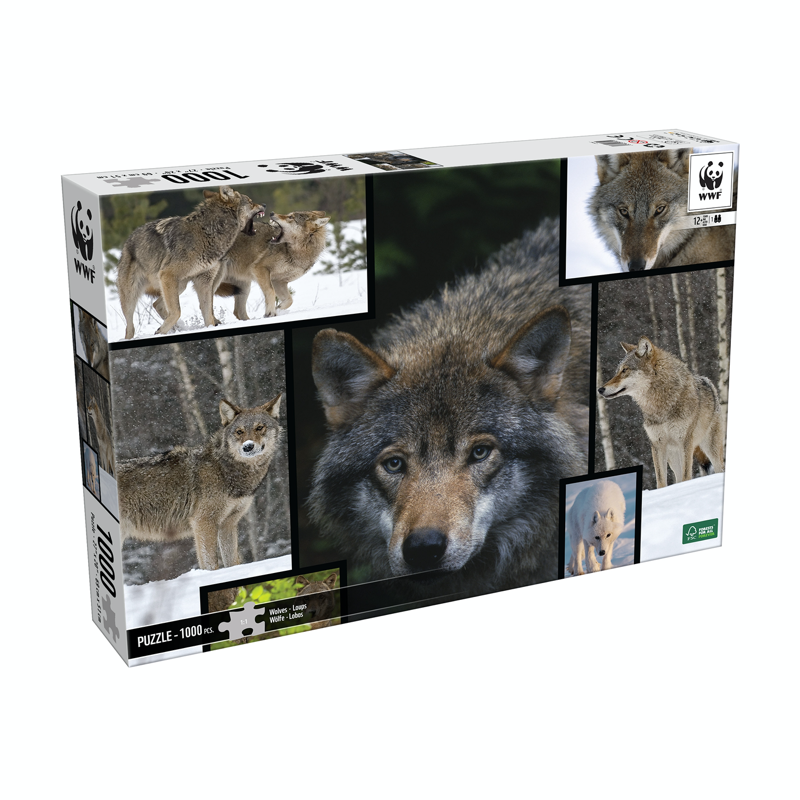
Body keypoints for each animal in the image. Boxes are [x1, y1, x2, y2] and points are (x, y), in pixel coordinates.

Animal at [116, 186, 265, 339]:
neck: (208, 232)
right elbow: (177, 311)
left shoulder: (204, 281)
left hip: (179, 286)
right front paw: (161, 331)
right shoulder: (168, 274)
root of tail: (127, 241)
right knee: (130, 327)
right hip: (133, 296)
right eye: (250, 201)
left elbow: (207, 313)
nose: (264, 205)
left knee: (157, 305)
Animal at [117, 395, 282, 571]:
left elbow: (232, 563)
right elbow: (211, 564)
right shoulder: (203, 522)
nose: (248, 446)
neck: (225, 469)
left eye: (259, 428)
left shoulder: (228, 524)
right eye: (239, 431)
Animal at [598, 337, 724, 488]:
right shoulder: (657, 445)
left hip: (710, 449)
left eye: (625, 370)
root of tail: (709, 382)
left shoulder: (685, 441)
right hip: (673, 458)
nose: (600, 389)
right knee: (678, 478)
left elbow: (687, 477)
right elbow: (661, 481)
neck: (659, 406)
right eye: (618, 371)